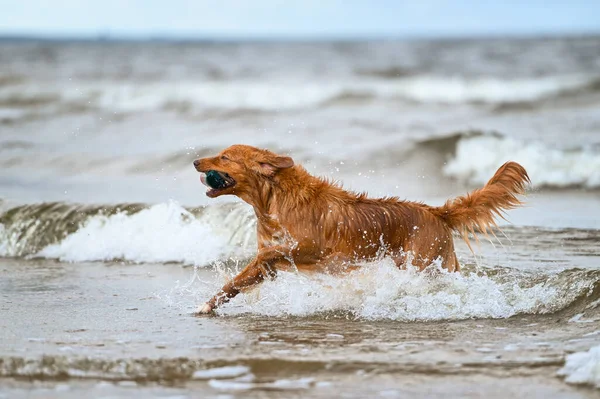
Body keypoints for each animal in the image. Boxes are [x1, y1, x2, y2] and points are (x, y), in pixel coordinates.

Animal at [193, 145, 528, 314]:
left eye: (224, 156)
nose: (196, 161)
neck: (274, 198)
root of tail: (436, 212)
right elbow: (236, 281)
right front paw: (208, 304)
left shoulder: (313, 248)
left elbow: (267, 255)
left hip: (426, 266)